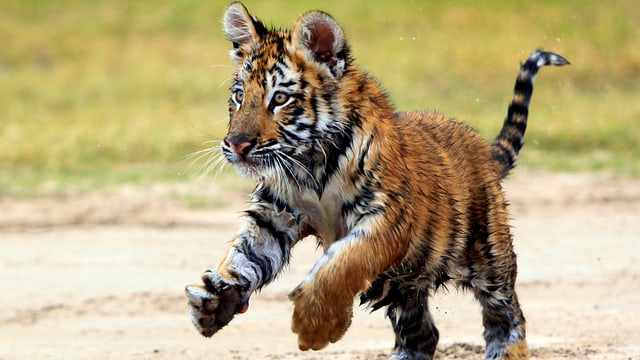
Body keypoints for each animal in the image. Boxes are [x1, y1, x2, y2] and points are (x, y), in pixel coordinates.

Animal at [185, 2, 568, 358]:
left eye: (280, 98)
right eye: (239, 96)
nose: (237, 144)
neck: (309, 165)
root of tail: (484, 150)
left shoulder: (387, 216)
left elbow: (344, 261)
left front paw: (315, 327)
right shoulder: (274, 215)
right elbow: (245, 254)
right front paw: (216, 300)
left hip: (489, 259)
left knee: (506, 317)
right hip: (407, 289)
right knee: (422, 335)